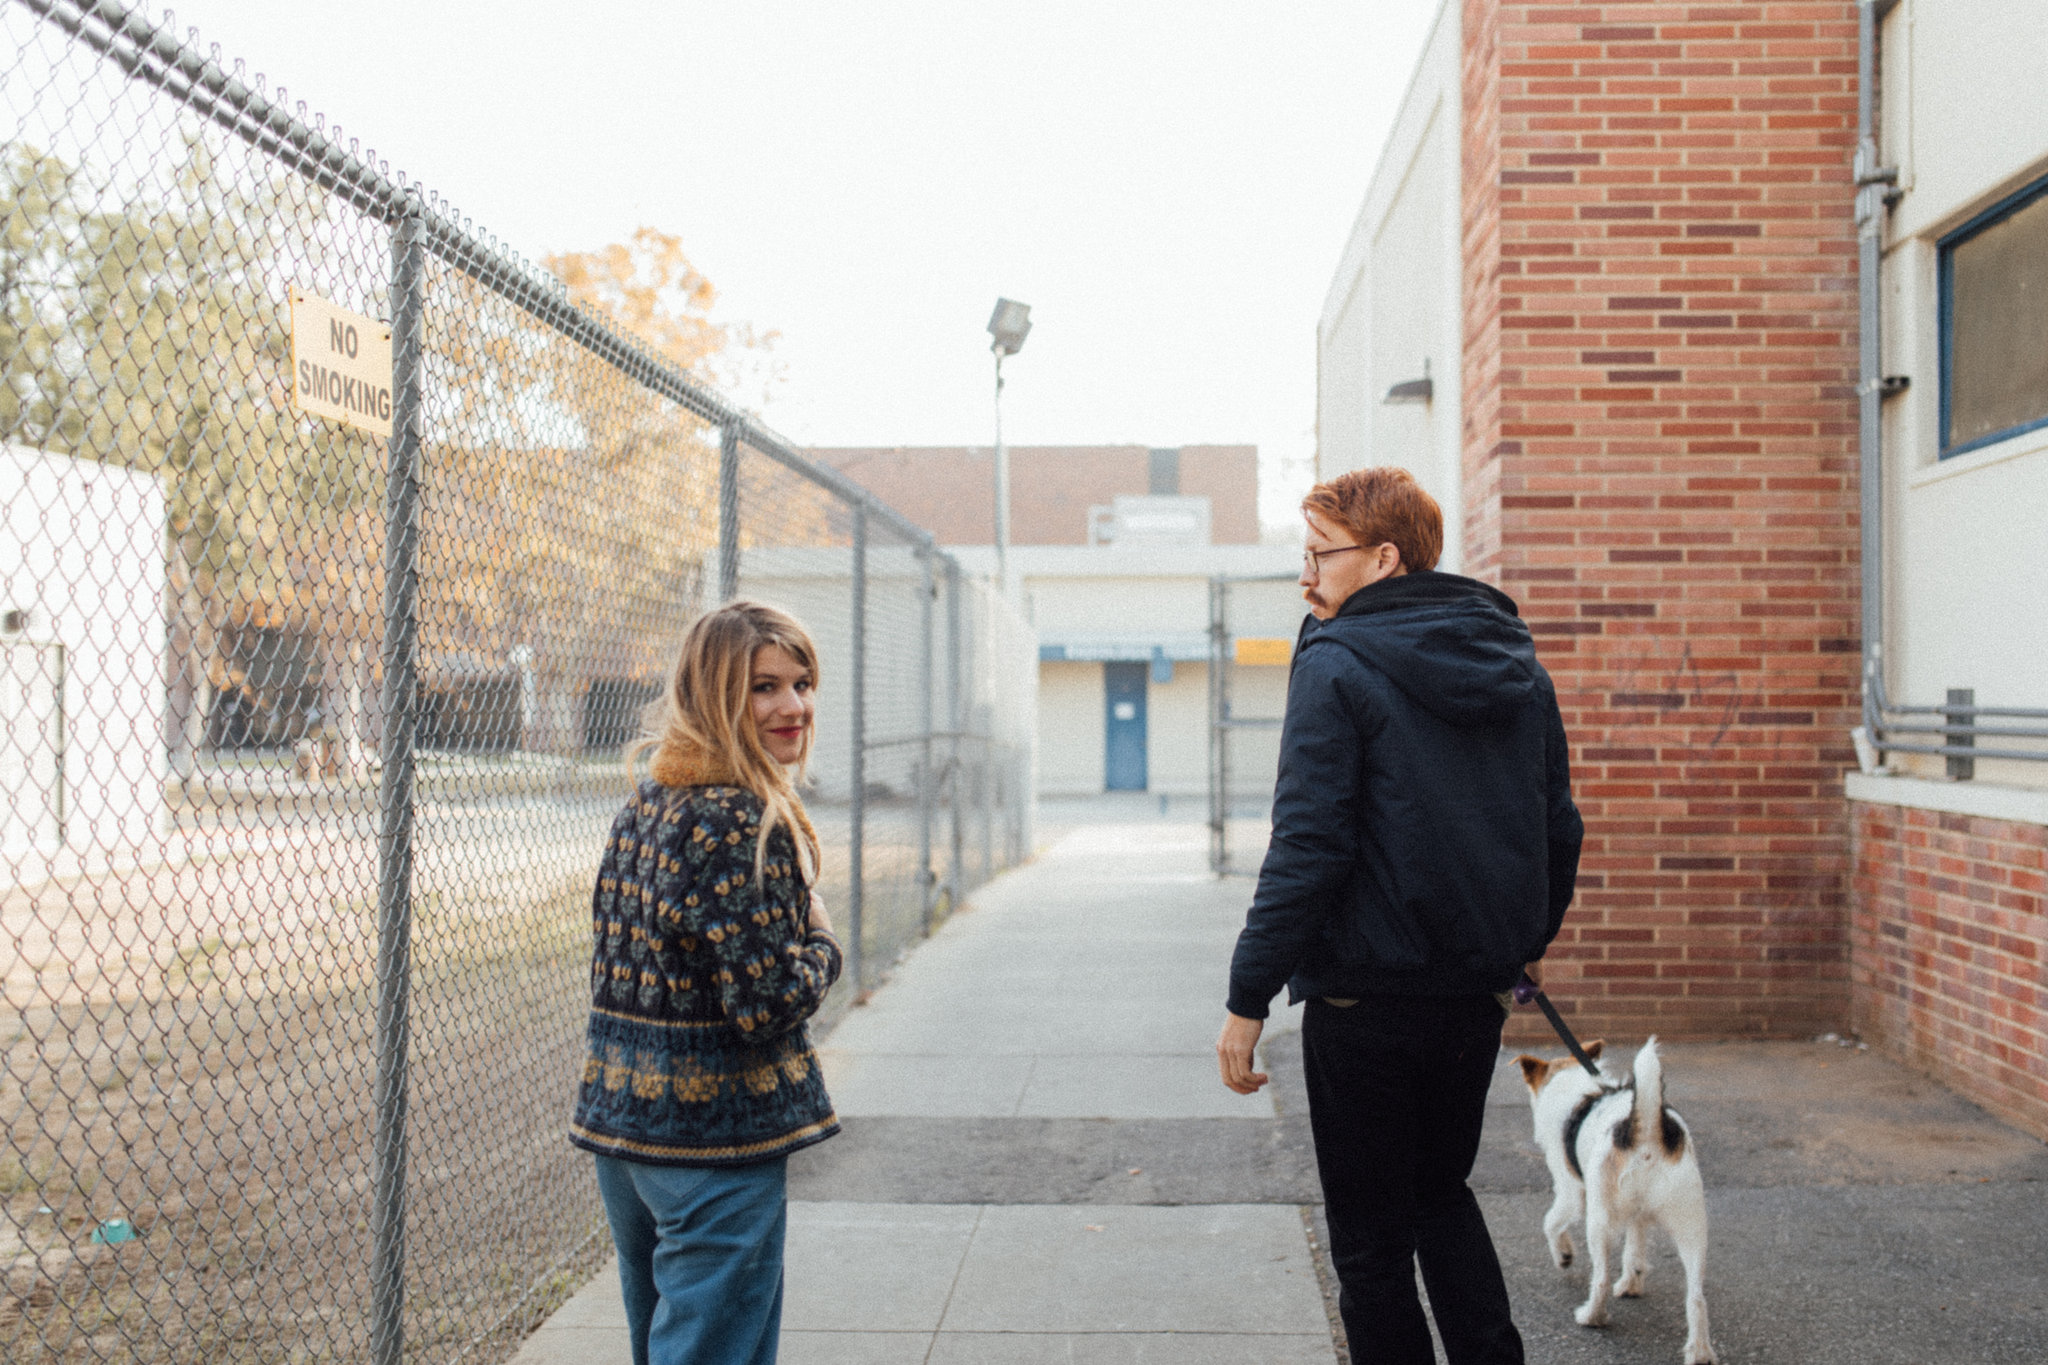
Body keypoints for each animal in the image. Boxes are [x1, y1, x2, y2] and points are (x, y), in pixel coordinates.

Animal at [1515, 1039, 1720, 1358]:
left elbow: (1550, 1223)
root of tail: (1645, 1127)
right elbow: (1635, 1248)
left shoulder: (1571, 1192)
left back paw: (1592, 1316)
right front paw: (1631, 1282)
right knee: (1696, 1298)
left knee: (1600, 1278)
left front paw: (1563, 1255)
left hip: (1600, 1222)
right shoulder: (1637, 1213)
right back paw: (1699, 1352)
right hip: (1692, 1229)